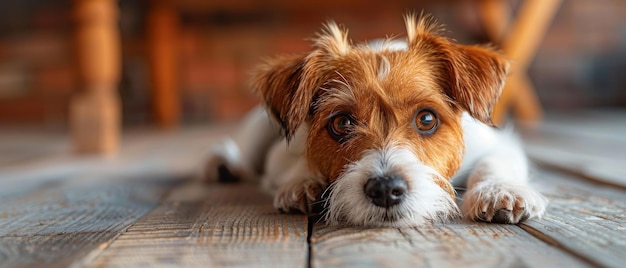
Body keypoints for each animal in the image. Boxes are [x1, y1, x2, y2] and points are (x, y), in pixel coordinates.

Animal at [202, 12, 544, 226]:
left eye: (427, 119)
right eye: (342, 123)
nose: (385, 190)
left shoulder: (497, 144)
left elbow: (494, 162)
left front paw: (500, 192)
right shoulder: (280, 152)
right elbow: (295, 164)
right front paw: (301, 183)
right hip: (257, 128)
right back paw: (221, 164)